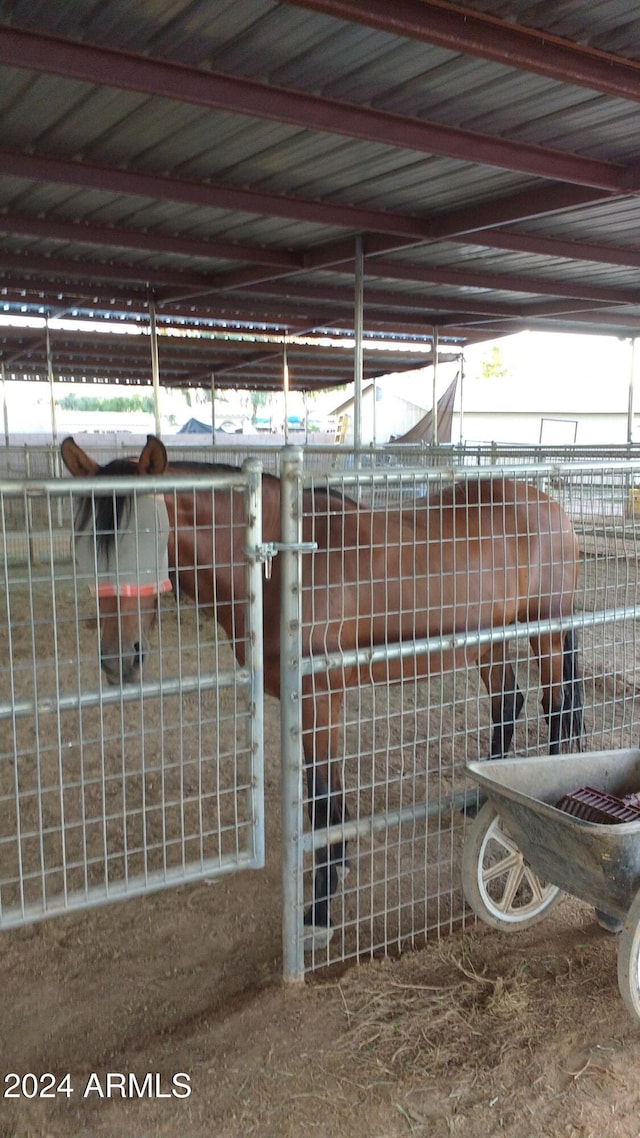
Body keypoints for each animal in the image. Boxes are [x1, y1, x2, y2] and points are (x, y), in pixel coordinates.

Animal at [62, 430, 580, 937]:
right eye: (85, 542)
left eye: (151, 535)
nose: (118, 659)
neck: (282, 565)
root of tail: (552, 507)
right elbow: (317, 797)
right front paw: (340, 862)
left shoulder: (320, 697)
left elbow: (324, 791)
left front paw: (320, 908)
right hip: (489, 642)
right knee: (507, 703)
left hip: (547, 632)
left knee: (555, 708)